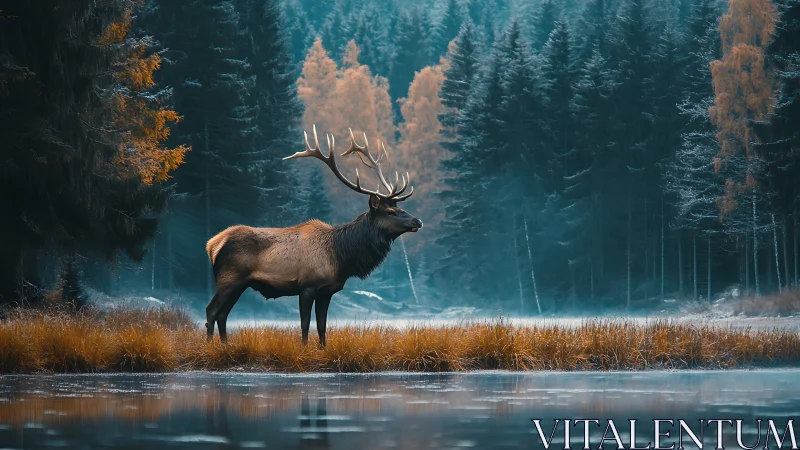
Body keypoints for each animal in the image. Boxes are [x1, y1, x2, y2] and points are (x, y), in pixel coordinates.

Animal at [204, 125, 422, 346]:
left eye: (400, 208)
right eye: (391, 212)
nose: (418, 221)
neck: (342, 256)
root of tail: (212, 244)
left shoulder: (327, 291)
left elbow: (322, 326)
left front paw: (322, 349)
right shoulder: (307, 285)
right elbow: (305, 323)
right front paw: (303, 348)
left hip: (239, 283)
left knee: (222, 314)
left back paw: (225, 345)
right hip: (230, 278)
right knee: (211, 311)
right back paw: (210, 346)